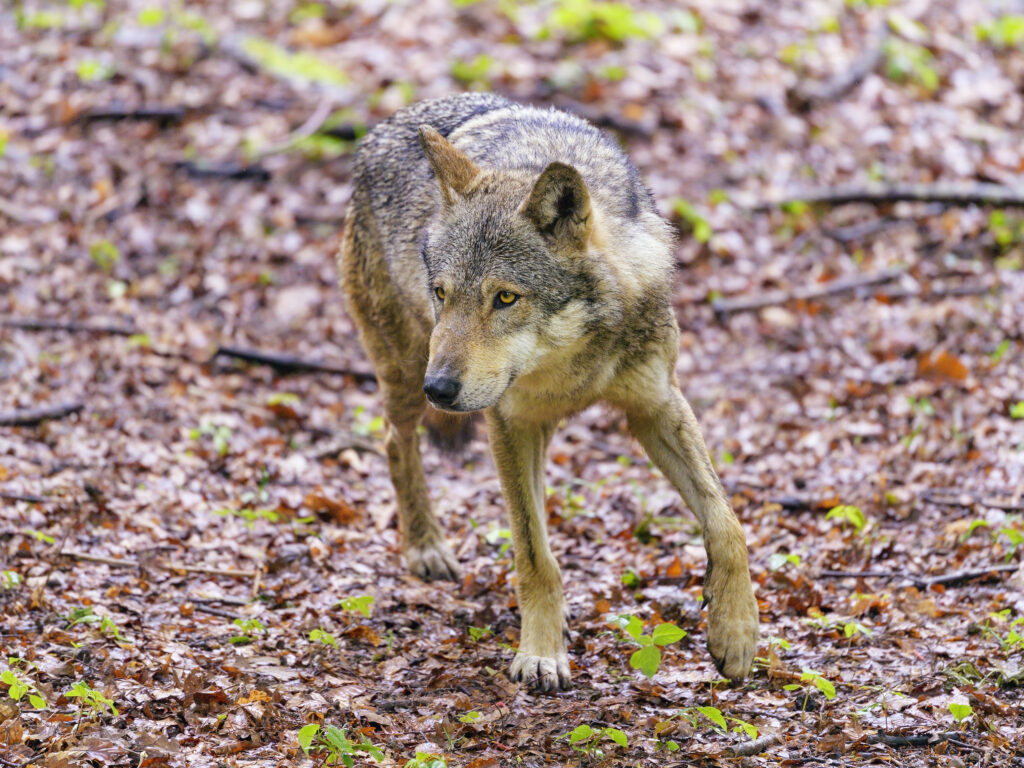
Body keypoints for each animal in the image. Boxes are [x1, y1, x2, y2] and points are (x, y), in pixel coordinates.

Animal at [338, 93, 758, 691]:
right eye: (442, 292)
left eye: (505, 298)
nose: (440, 388)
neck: (569, 358)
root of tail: (382, 130)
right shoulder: (510, 424)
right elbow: (536, 557)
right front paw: (541, 654)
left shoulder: (655, 405)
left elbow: (727, 521)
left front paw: (736, 631)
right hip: (405, 370)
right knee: (396, 444)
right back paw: (426, 546)